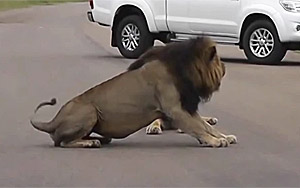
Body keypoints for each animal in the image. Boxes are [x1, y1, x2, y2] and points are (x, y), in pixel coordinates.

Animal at [30, 36, 237, 148]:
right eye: (219, 61)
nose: (226, 67)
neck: (184, 69)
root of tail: (52, 121)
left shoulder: (186, 107)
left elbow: (206, 125)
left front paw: (224, 136)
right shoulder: (176, 110)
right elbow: (198, 128)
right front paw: (215, 142)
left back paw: (98, 140)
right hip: (90, 111)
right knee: (63, 142)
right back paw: (89, 143)